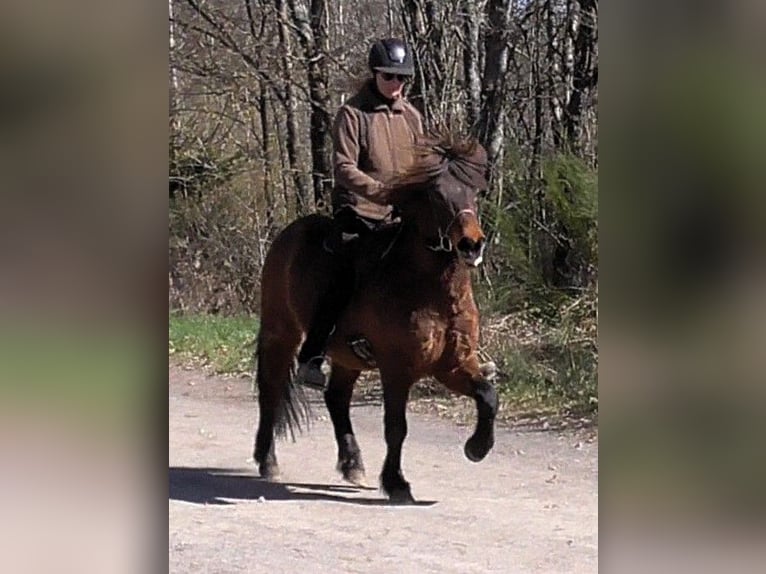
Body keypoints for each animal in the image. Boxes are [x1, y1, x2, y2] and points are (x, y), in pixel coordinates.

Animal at [253, 130, 499, 503]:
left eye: (474, 189)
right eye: (437, 194)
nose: (472, 245)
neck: (429, 288)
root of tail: (287, 235)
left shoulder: (452, 365)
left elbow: (488, 396)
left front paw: (477, 448)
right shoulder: (397, 368)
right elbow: (396, 427)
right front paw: (397, 483)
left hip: (345, 356)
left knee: (336, 398)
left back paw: (352, 463)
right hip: (280, 333)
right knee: (271, 390)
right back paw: (268, 461)